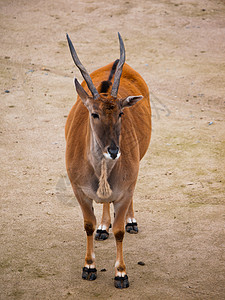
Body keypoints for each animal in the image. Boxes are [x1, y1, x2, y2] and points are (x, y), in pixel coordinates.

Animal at [64, 32, 151, 288]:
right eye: (94, 113)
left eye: (120, 113)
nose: (113, 150)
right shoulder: (79, 191)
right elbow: (88, 225)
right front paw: (89, 267)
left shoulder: (125, 190)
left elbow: (120, 231)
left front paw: (121, 273)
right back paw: (104, 227)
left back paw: (131, 222)